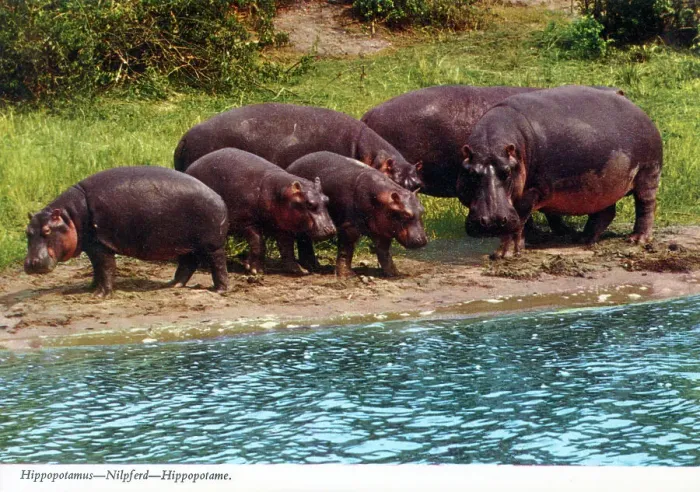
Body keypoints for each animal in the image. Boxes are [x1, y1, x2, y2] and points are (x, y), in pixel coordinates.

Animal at [24, 166, 229, 296]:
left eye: (47, 230)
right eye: (27, 231)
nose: (31, 263)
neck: (70, 216)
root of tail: (219, 197)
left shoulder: (100, 245)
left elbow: (106, 268)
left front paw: (100, 295)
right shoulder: (91, 246)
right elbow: (96, 269)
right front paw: (90, 288)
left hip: (212, 245)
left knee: (218, 264)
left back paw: (219, 290)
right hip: (188, 244)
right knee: (188, 263)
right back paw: (173, 285)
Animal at [185, 148, 336, 274]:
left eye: (327, 199)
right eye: (309, 204)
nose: (331, 230)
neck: (277, 192)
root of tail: (189, 168)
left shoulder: (282, 225)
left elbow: (287, 247)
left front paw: (299, 270)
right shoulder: (248, 222)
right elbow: (259, 243)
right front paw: (255, 270)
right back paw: (203, 265)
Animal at [286, 151, 428, 278]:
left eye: (422, 210)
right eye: (405, 214)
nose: (422, 240)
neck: (382, 198)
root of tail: (291, 165)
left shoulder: (384, 228)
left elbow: (385, 252)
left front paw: (394, 273)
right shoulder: (350, 227)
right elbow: (346, 250)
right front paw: (348, 275)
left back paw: (314, 265)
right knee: (304, 239)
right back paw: (311, 266)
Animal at [458, 85, 662, 257]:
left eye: (507, 172)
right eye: (472, 174)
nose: (491, 221)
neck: (493, 146)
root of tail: (637, 108)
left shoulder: (530, 192)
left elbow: (517, 223)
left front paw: (503, 253)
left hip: (648, 173)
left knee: (645, 206)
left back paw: (636, 239)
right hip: (603, 185)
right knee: (605, 212)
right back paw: (582, 239)